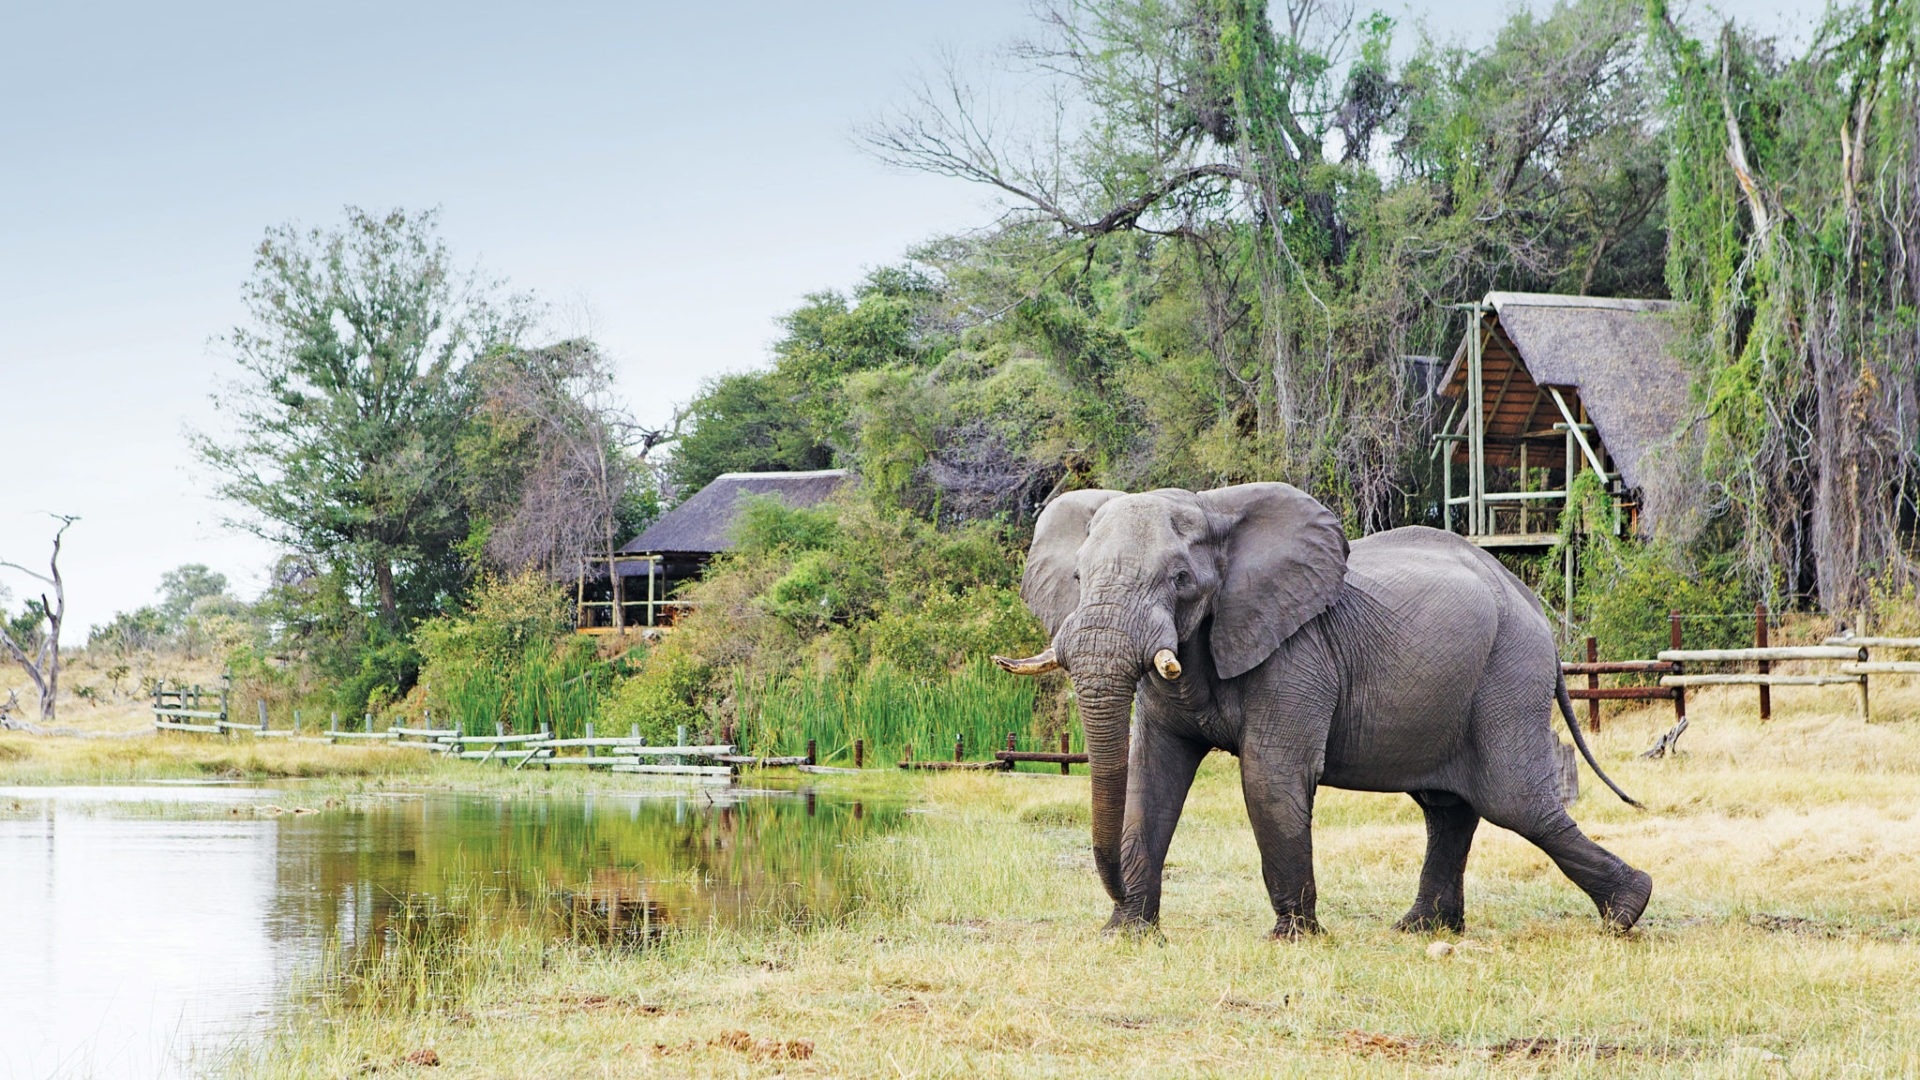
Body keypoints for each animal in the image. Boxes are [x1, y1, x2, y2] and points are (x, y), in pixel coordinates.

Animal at [990, 478, 1651, 933]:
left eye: (1180, 579)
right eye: (1078, 579)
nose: (1115, 897)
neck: (1213, 509)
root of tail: (1536, 609)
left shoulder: (1297, 651)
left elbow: (1269, 775)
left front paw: (1294, 937)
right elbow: (1153, 775)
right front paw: (1127, 933)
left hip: (1507, 672)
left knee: (1514, 801)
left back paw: (1628, 911)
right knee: (1450, 808)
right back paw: (1421, 929)